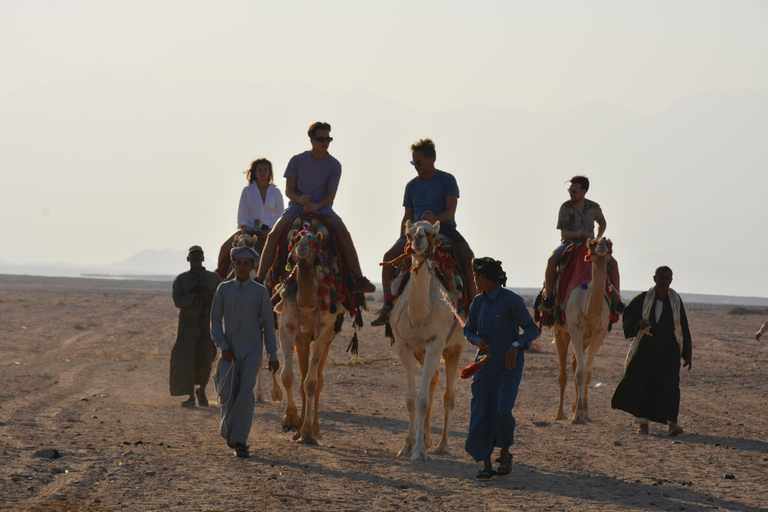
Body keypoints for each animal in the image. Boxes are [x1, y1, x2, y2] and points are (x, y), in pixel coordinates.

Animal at [272, 220, 344, 444]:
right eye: (294, 240)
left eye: (314, 243)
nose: (302, 249)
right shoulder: (287, 326)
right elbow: (288, 376)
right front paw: (290, 421)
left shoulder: (325, 330)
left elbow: (312, 383)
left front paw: (307, 433)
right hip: (302, 340)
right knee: (302, 375)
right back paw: (298, 429)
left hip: (329, 338)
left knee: (317, 380)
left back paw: (314, 428)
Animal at [390, 220, 462, 460]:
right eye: (408, 233)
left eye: (430, 233)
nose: (418, 239)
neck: (419, 316)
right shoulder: (404, 345)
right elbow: (411, 399)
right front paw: (408, 445)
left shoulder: (435, 343)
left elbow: (422, 401)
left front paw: (420, 452)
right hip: (420, 350)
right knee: (434, 380)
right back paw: (428, 440)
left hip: (454, 346)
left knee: (448, 396)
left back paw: (442, 445)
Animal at [552, 236, 612, 424]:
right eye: (592, 245)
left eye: (610, 244)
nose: (601, 245)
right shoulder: (575, 327)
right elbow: (580, 374)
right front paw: (578, 415)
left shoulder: (600, 332)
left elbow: (588, 373)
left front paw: (585, 412)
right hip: (561, 330)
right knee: (563, 374)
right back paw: (560, 414)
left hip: (585, 337)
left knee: (574, 364)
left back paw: (571, 407)